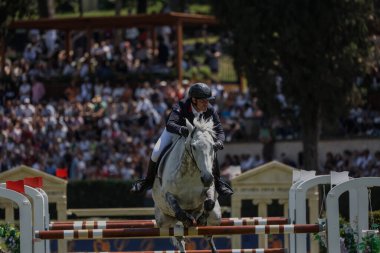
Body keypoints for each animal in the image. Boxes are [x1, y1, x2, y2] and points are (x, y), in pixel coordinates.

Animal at [152, 117, 221, 253]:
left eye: (213, 147)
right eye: (193, 147)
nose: (207, 178)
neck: (190, 174)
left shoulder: (208, 189)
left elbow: (209, 202)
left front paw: (200, 219)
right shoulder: (168, 194)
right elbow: (178, 210)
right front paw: (188, 220)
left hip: (216, 217)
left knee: (208, 236)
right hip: (163, 222)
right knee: (178, 237)